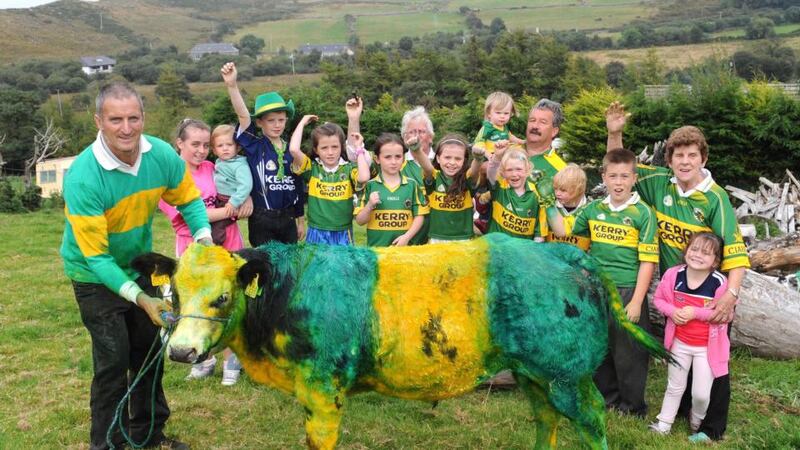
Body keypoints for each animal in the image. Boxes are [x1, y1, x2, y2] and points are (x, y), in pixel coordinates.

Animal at [136, 234, 668, 448]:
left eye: (223, 298)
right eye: (172, 291)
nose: (180, 351)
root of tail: (567, 253)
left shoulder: (321, 388)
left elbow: (319, 440)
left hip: (566, 375)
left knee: (593, 418)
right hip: (533, 372)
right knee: (546, 420)